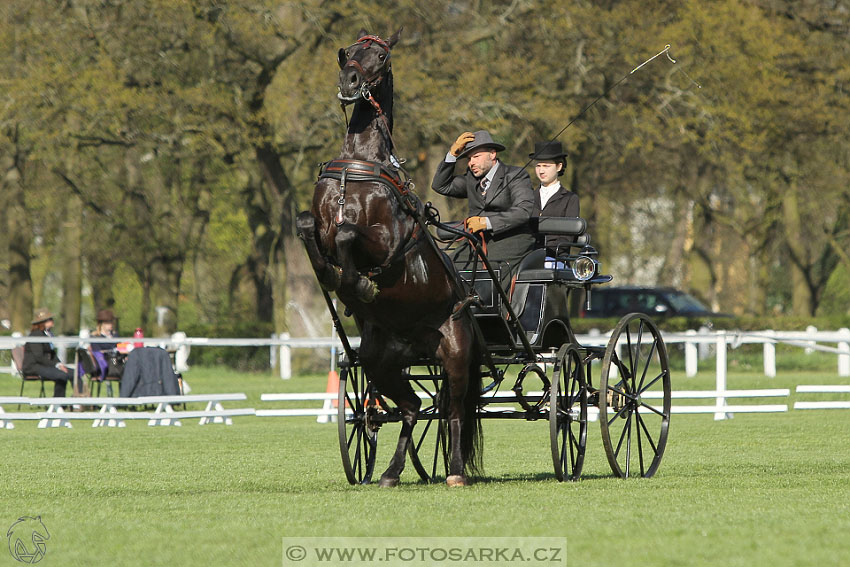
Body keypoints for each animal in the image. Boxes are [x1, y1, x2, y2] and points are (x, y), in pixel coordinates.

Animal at [294, 28, 480, 486]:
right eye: (345, 52)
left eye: (380, 56)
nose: (349, 80)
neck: (360, 166)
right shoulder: (318, 227)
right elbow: (308, 227)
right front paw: (337, 280)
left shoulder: (384, 239)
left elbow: (349, 234)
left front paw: (357, 282)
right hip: (381, 363)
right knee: (413, 409)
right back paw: (392, 472)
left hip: (455, 356)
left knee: (452, 412)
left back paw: (454, 472)